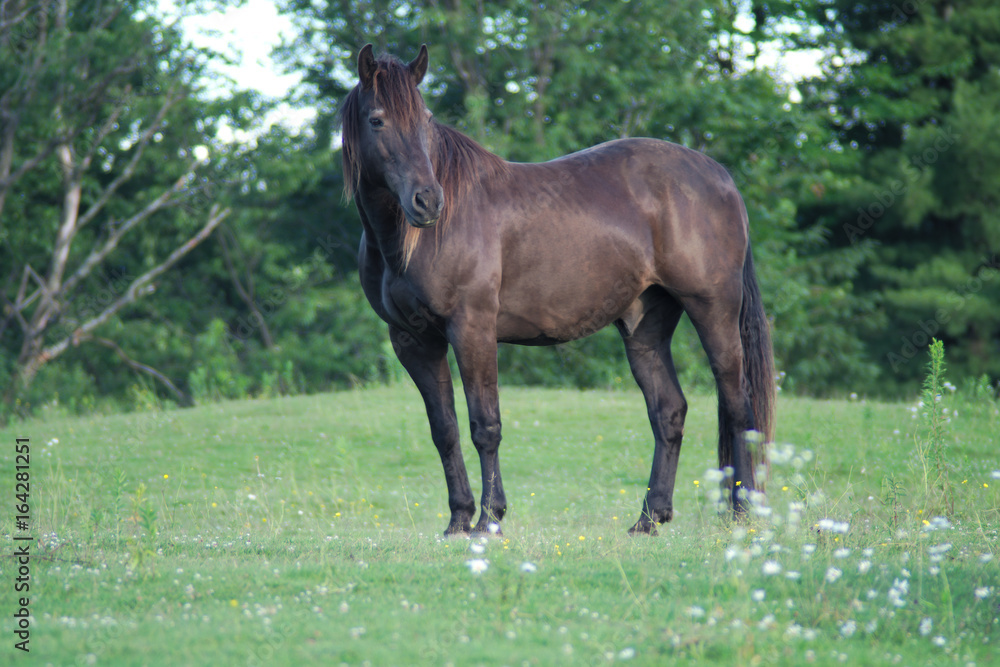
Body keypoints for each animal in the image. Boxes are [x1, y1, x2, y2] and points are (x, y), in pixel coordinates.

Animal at [340, 44, 775, 536]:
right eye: (377, 120)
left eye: (426, 119)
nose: (428, 201)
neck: (410, 242)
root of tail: (719, 175)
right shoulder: (413, 340)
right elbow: (444, 430)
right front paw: (458, 520)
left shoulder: (472, 330)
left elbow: (485, 426)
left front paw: (489, 519)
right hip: (645, 326)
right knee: (669, 411)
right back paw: (648, 518)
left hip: (713, 310)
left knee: (738, 407)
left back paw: (741, 512)